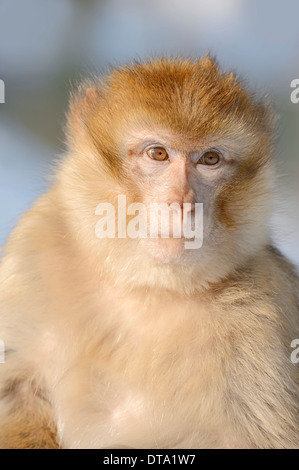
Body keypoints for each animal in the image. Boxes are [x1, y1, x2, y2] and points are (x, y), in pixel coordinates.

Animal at [0, 57, 298, 450]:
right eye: (158, 153)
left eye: (210, 159)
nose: (182, 202)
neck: (147, 285)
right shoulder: (36, 248)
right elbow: (17, 390)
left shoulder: (262, 310)